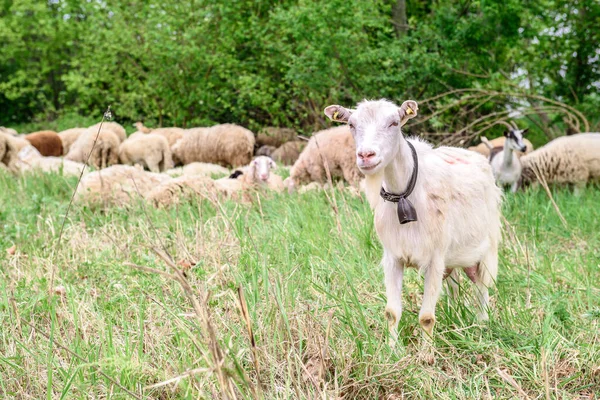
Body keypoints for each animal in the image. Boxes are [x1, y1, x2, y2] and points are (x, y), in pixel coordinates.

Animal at [324, 97, 502, 360]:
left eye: (394, 123)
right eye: (351, 125)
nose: (366, 155)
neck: (404, 196)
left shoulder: (434, 258)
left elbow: (426, 317)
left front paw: (426, 356)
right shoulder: (393, 258)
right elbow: (391, 312)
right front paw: (392, 351)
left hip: (487, 248)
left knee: (482, 288)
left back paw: (482, 325)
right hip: (452, 258)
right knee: (454, 287)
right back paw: (454, 318)